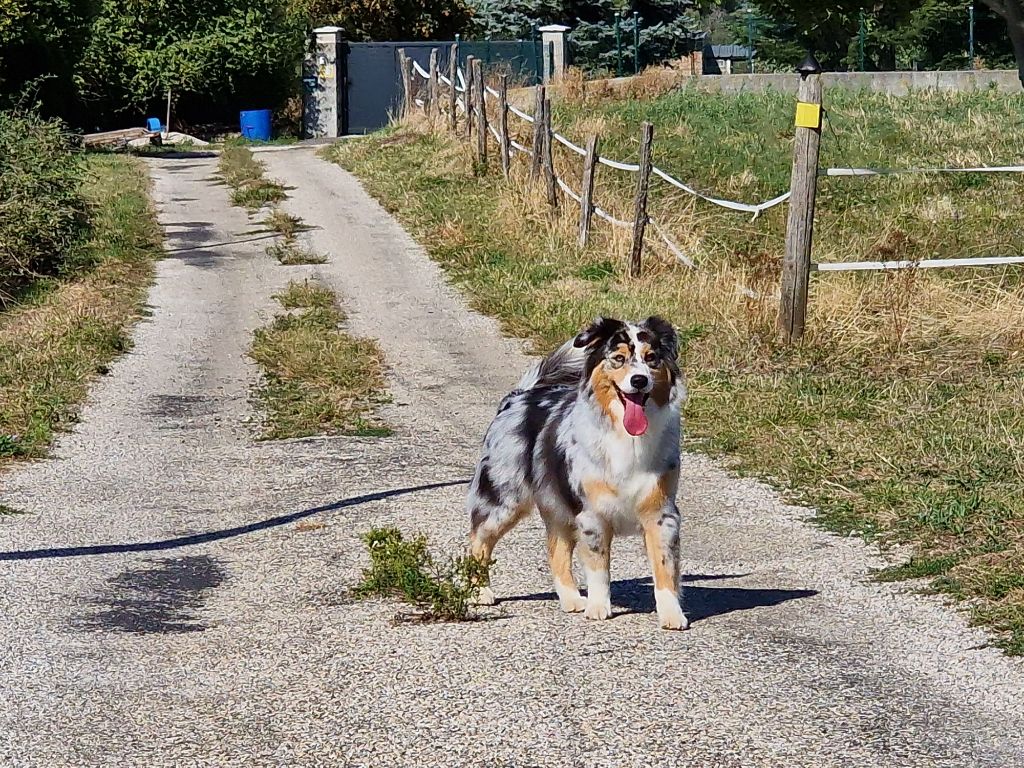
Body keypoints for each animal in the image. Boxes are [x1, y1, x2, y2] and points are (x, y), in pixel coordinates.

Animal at [468, 315, 688, 626]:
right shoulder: (592, 514)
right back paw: (479, 592)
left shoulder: (660, 513)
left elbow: (665, 566)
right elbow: (598, 568)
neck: (626, 436)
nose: (639, 380)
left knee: (556, 551)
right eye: (618, 358)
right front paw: (598, 608)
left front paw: (671, 614)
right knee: (477, 540)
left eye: (651, 358)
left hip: (557, 507)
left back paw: (571, 599)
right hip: (504, 499)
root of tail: (518, 397)